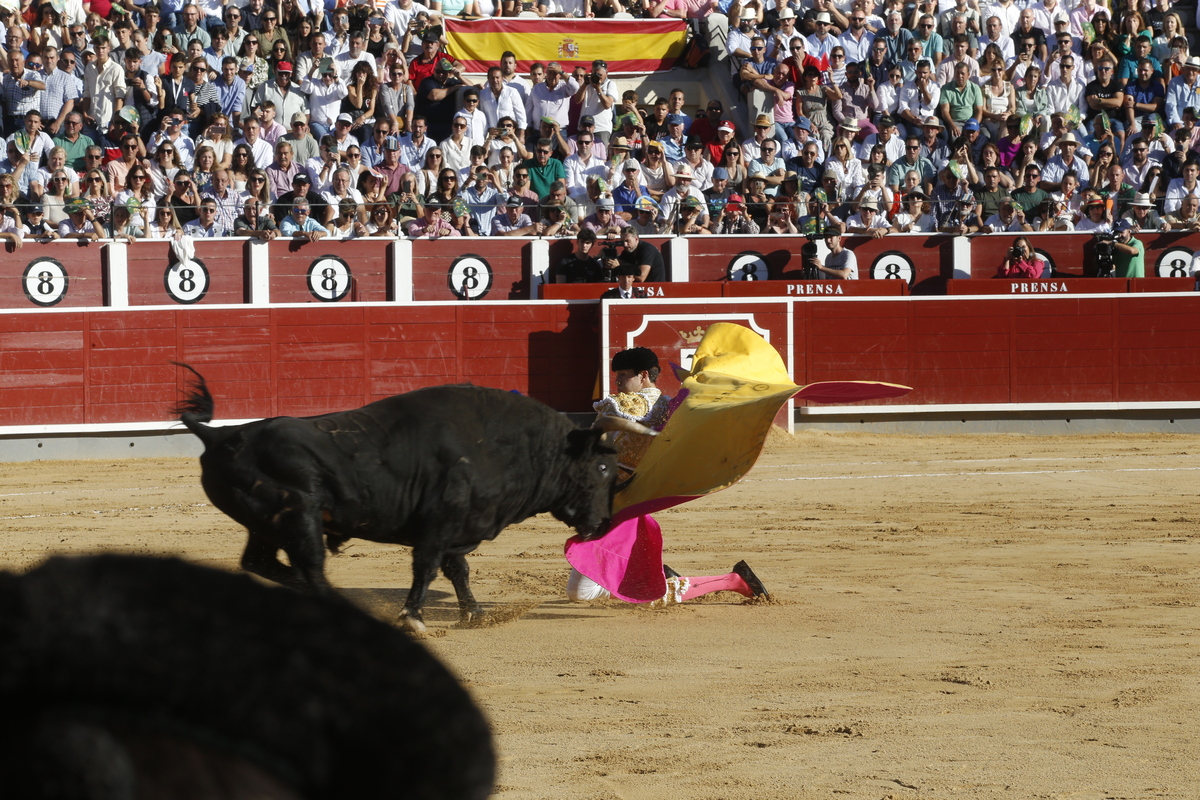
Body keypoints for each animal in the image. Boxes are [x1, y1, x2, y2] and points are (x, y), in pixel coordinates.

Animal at [177, 369, 619, 633]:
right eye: (601, 469)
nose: (603, 524)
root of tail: (218, 434)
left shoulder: (458, 527)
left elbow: (458, 570)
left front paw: (475, 614)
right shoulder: (440, 524)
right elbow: (426, 568)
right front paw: (413, 618)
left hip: (265, 523)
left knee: (260, 562)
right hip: (299, 516)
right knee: (310, 566)